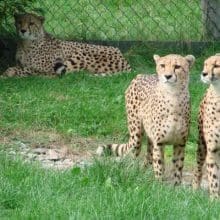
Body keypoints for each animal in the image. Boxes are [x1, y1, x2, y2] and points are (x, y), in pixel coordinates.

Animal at [3, 12, 131, 77]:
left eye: (31, 23)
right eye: (19, 22)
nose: (23, 30)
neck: (26, 43)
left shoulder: (47, 67)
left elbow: (28, 69)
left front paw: (9, 72)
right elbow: (21, 67)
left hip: (80, 54)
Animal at [97, 54, 195, 185]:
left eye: (177, 66)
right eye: (162, 65)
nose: (167, 76)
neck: (173, 95)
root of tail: (140, 75)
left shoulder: (180, 143)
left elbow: (178, 169)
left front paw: (175, 187)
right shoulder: (159, 143)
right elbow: (159, 165)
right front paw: (159, 186)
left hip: (150, 138)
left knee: (148, 157)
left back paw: (144, 174)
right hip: (136, 136)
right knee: (134, 155)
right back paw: (132, 174)